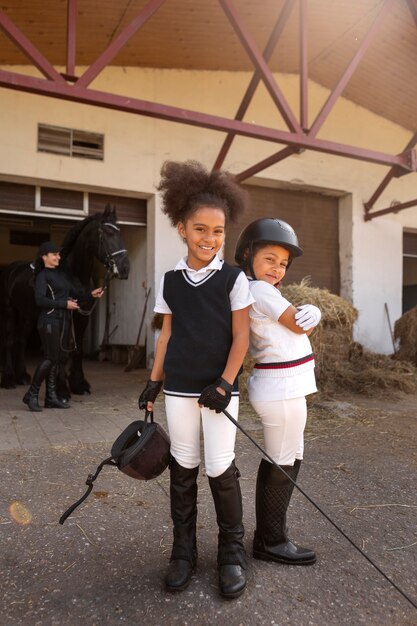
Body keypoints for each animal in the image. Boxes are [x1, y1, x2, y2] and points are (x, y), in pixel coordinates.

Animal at [0, 206, 130, 394]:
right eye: (105, 233)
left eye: (119, 232)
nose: (125, 268)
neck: (75, 275)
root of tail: (11, 270)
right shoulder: (66, 316)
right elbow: (62, 352)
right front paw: (61, 389)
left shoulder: (82, 317)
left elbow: (78, 350)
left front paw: (79, 383)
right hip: (10, 312)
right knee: (9, 341)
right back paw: (9, 379)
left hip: (27, 316)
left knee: (21, 341)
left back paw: (22, 376)